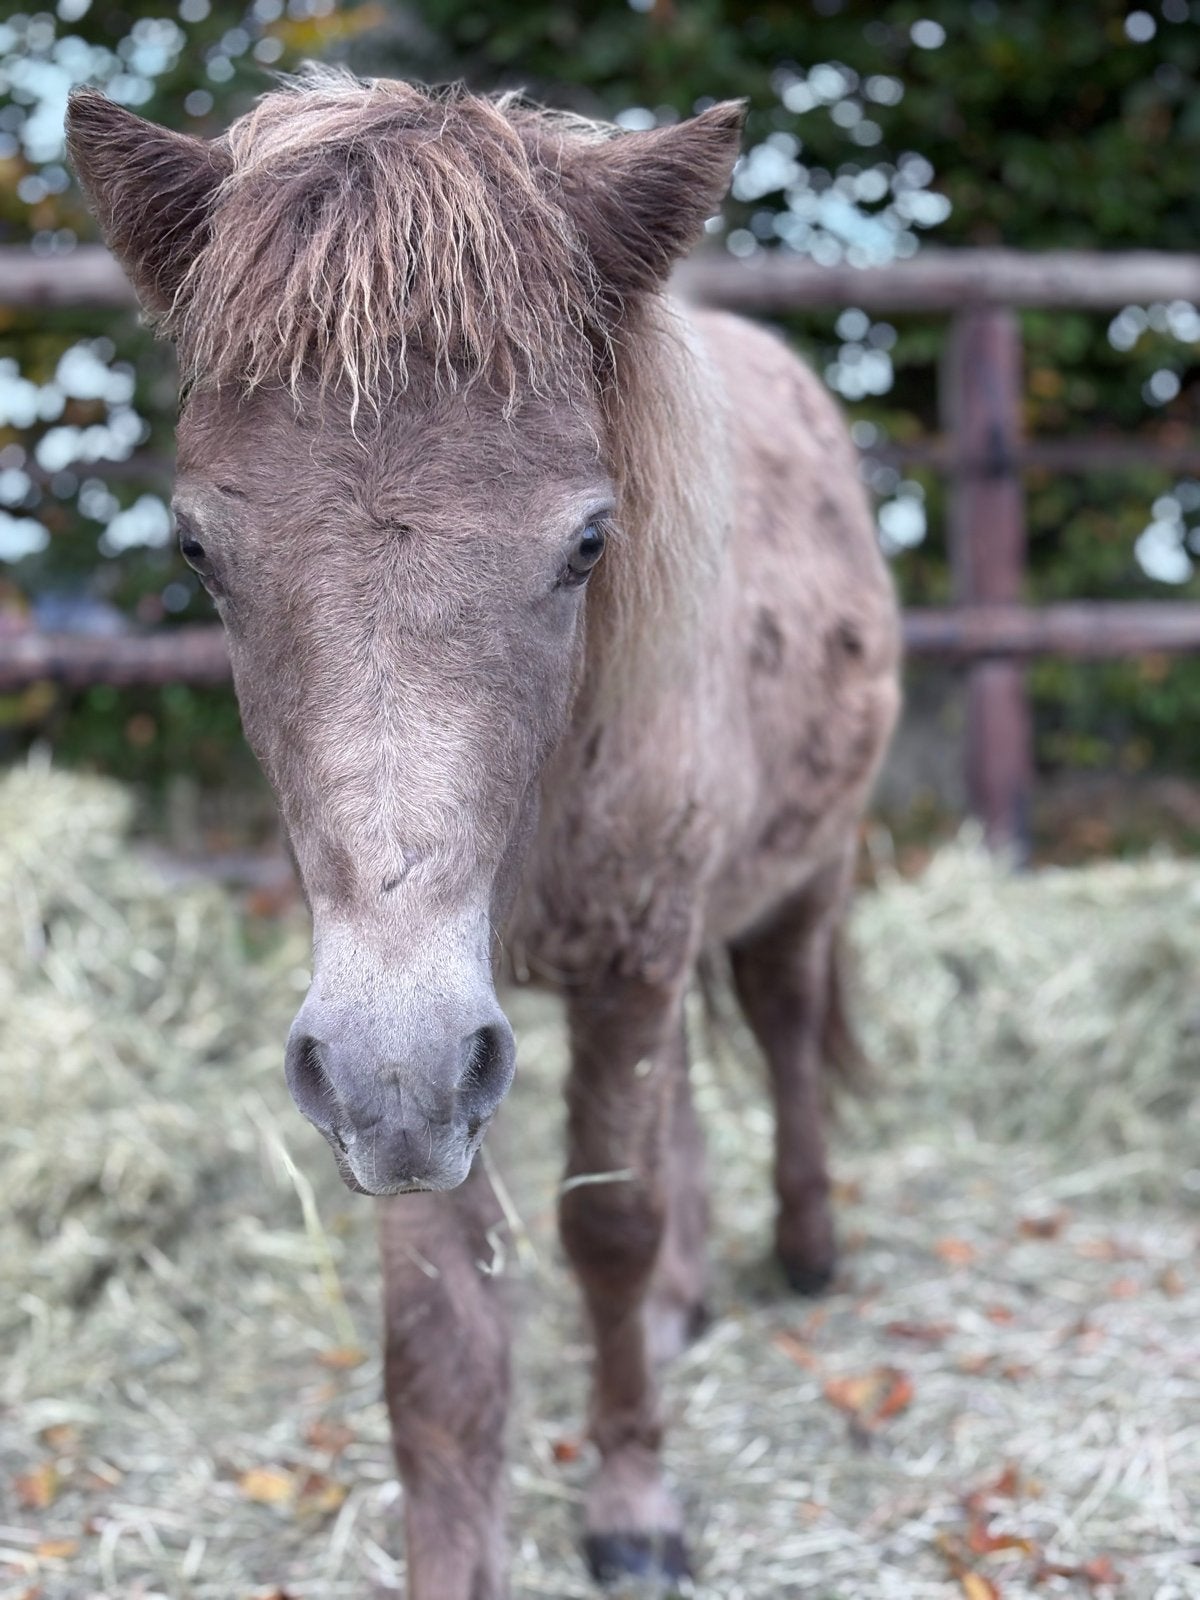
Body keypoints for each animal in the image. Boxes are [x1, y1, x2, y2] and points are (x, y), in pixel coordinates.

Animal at [67, 69, 901, 1597]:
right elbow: (439, 1335)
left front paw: (632, 1501)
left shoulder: (596, 969)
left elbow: (608, 1225)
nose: (398, 1062)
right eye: (196, 549)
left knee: (787, 1019)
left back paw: (803, 1249)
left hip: (797, 878)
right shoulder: (404, 1050)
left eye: (588, 541)